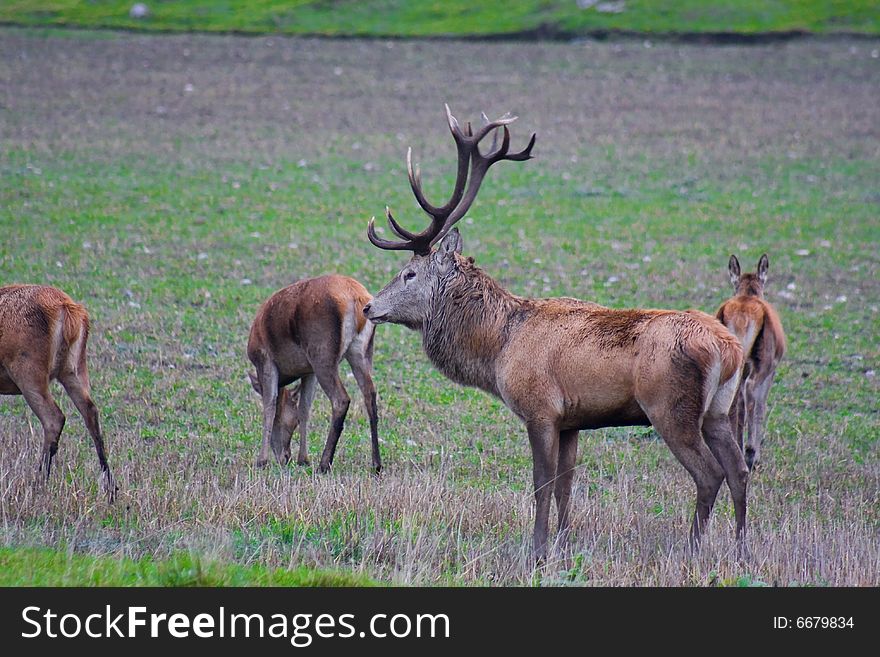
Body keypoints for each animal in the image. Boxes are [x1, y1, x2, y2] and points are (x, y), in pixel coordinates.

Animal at [0, 284, 117, 502]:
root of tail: (70, 310)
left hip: (28, 369)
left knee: (54, 417)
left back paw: (38, 485)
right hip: (74, 368)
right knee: (91, 411)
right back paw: (111, 489)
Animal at [246, 276, 380, 472]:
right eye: (293, 421)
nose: (285, 457)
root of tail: (357, 298)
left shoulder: (265, 361)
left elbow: (269, 407)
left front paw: (261, 461)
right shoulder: (308, 371)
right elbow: (305, 408)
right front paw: (304, 459)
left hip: (322, 356)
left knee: (341, 399)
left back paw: (324, 464)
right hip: (360, 352)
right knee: (370, 394)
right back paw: (376, 464)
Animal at [360, 105, 744, 560]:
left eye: (409, 273)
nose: (368, 306)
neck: (498, 346)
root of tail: (730, 348)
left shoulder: (539, 408)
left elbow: (541, 485)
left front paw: (538, 549)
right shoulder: (571, 420)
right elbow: (565, 486)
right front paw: (563, 541)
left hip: (671, 407)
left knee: (710, 473)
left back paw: (692, 549)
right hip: (719, 409)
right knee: (739, 470)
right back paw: (743, 548)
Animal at [720, 254, 788, 468]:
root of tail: (742, 316)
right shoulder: (772, 369)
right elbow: (761, 405)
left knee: (735, 399)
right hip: (762, 363)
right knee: (750, 394)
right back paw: (749, 452)